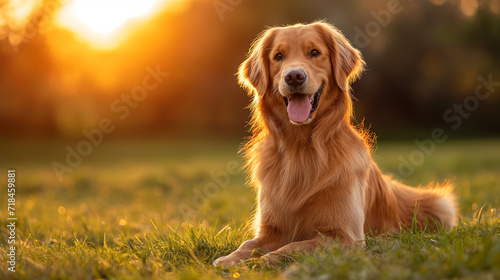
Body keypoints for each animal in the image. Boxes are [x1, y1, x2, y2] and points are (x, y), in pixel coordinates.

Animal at [213, 20, 456, 266]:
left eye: (314, 53)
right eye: (278, 56)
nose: (294, 77)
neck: (300, 147)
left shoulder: (344, 236)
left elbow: (291, 247)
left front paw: (258, 263)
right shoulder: (271, 229)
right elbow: (248, 244)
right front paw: (229, 260)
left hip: (440, 206)